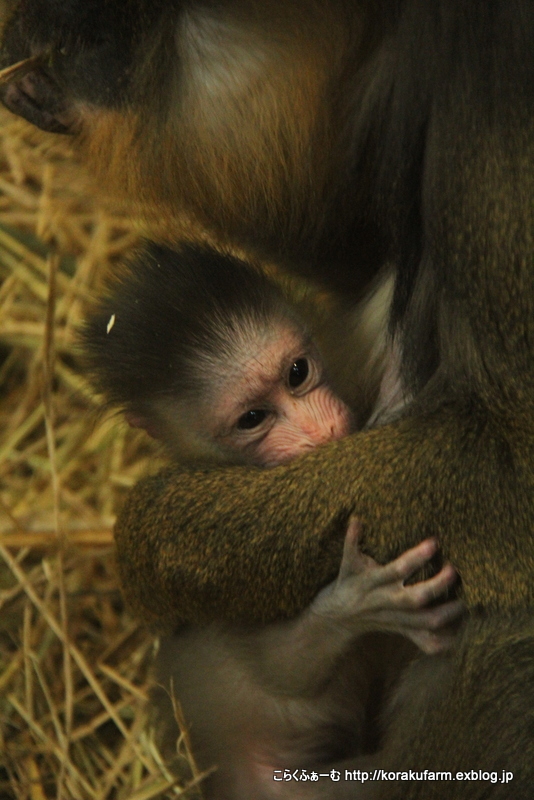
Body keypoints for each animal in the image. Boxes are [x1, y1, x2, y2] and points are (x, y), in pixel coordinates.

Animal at [80, 245, 464, 800]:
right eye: (252, 419)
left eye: (297, 372)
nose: (321, 430)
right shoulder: (216, 566)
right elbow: (286, 674)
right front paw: (356, 604)